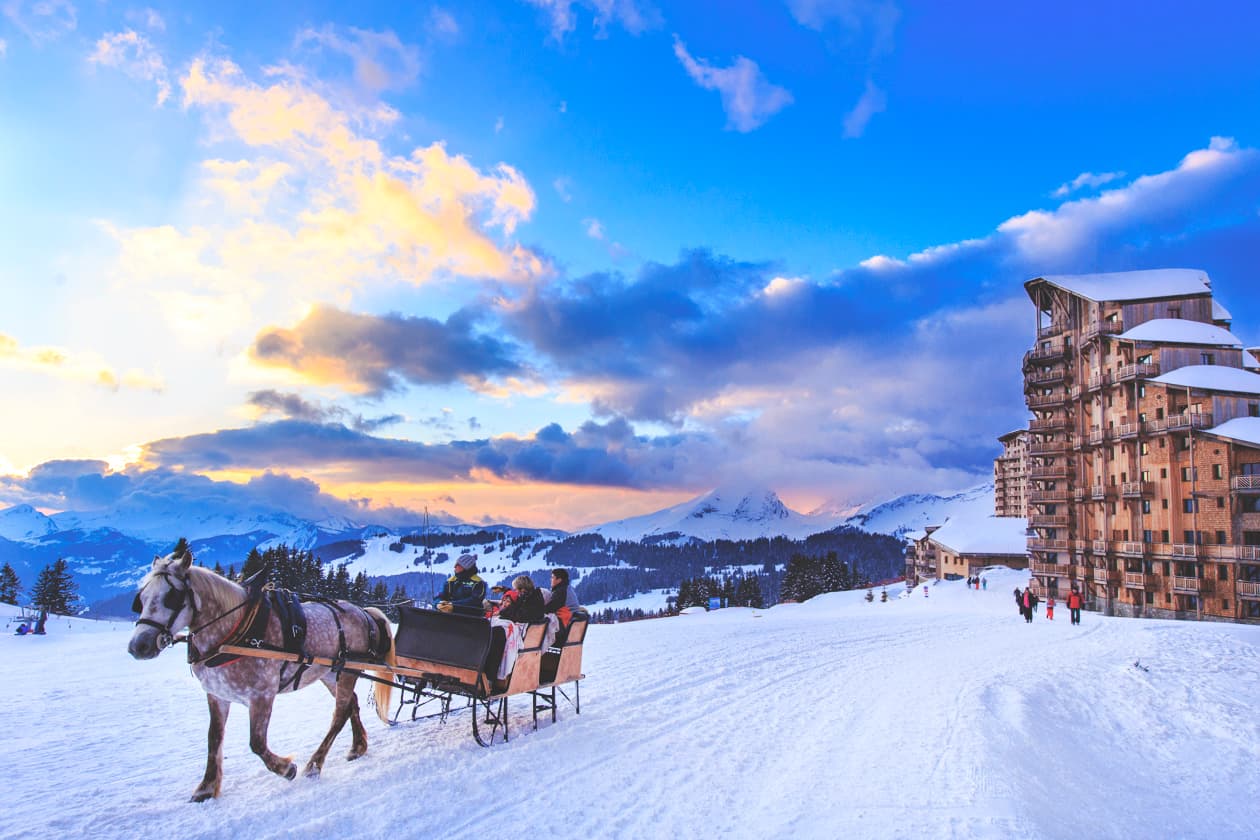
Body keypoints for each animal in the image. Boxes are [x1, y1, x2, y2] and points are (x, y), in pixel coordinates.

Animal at [127, 551, 393, 800]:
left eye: (171, 597)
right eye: (141, 599)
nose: (138, 646)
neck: (236, 631)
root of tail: (363, 611)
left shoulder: (262, 694)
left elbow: (256, 742)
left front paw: (286, 768)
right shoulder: (217, 695)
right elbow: (214, 739)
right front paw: (206, 788)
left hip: (347, 671)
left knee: (338, 714)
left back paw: (314, 764)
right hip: (331, 672)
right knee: (350, 705)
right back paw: (357, 747)